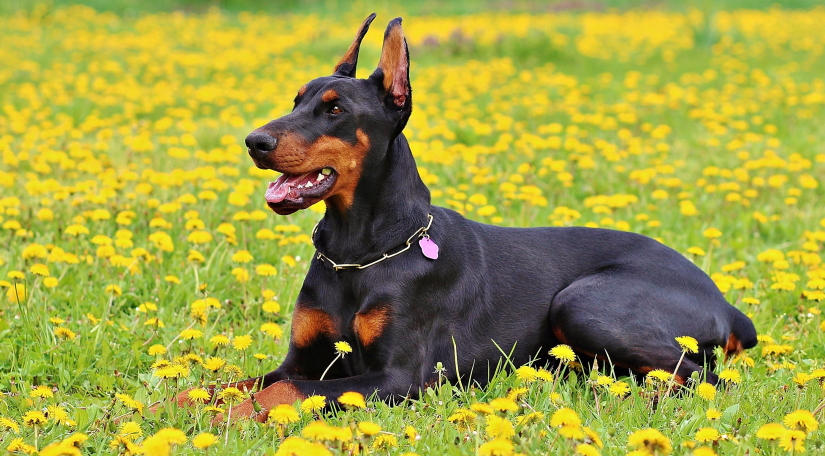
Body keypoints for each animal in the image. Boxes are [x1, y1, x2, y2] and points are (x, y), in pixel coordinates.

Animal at [175, 13, 760, 420]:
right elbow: (226, 383)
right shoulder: (302, 358)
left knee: (703, 379)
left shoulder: (397, 378)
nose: (254, 142)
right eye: (296, 100)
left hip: (584, 303)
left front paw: (226, 420)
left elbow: (284, 391)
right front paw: (170, 408)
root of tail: (727, 305)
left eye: (335, 109)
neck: (360, 251)